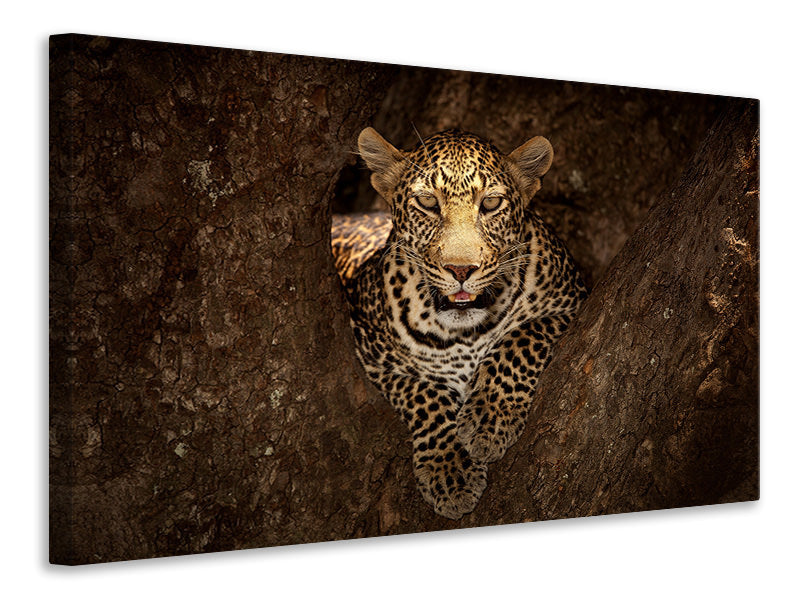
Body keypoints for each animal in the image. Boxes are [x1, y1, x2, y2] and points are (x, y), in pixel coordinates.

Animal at [332, 127, 588, 520]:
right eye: (427, 202)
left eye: (491, 204)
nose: (461, 270)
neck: (465, 332)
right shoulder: (371, 354)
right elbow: (424, 393)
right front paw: (450, 471)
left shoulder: (571, 303)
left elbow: (520, 338)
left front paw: (489, 421)